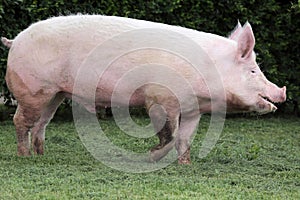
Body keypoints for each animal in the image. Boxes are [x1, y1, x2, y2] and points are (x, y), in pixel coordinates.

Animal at [1, 14, 286, 163]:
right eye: (253, 71)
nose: (281, 92)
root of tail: (15, 40)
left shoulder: (193, 109)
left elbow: (184, 139)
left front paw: (185, 164)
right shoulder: (160, 97)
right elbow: (168, 133)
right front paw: (152, 156)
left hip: (55, 94)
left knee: (42, 122)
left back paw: (41, 154)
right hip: (33, 90)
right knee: (20, 120)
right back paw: (25, 157)